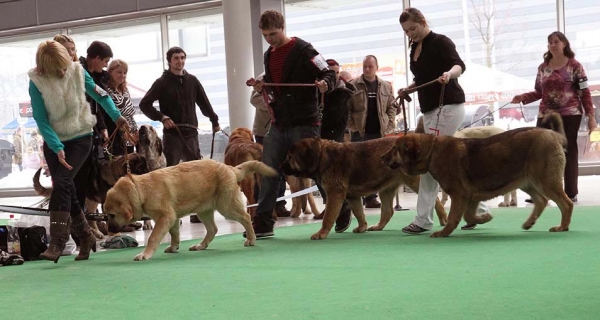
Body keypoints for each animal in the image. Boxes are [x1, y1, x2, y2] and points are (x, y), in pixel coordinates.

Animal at [104, 159, 278, 262]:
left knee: (246, 217)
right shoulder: (172, 218)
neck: (140, 190)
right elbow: (174, 234)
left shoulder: (165, 217)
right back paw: (201, 246)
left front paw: (144, 254)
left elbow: (153, 237)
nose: (110, 231)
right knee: (213, 229)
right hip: (204, 211)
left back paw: (251, 239)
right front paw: (174, 247)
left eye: (111, 215)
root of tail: (230, 168)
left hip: (227, 206)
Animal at [280, 138, 446, 240]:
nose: (280, 166)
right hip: (386, 190)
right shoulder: (352, 197)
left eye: (290, 157)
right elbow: (359, 212)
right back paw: (378, 226)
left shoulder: (335, 194)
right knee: (388, 211)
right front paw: (362, 227)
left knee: (435, 200)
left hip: (413, 181)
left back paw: (443, 218)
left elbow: (328, 217)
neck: (321, 157)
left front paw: (321, 233)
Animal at [382, 112, 576, 238]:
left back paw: (563, 226)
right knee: (541, 200)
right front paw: (483, 218)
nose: (381, 157)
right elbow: (467, 215)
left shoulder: (460, 195)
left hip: (546, 181)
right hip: (527, 182)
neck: (432, 151)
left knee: (566, 203)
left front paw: (444, 232)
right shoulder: (471, 198)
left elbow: (453, 217)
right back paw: (530, 223)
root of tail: (555, 135)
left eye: (394, 148)